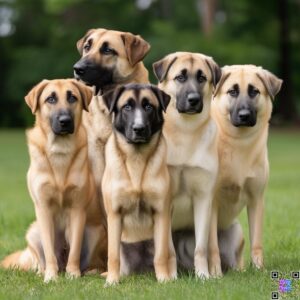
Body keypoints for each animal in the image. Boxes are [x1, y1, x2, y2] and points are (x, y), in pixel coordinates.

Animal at [0, 78, 108, 282]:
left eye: (72, 97)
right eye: (50, 99)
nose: (65, 121)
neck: (60, 151)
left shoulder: (77, 210)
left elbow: (75, 250)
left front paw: (73, 275)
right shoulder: (43, 208)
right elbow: (49, 251)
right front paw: (51, 277)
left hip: (94, 232)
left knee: (88, 261)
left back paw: (87, 271)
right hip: (33, 232)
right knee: (43, 260)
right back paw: (45, 271)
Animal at [101, 83, 176, 284]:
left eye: (148, 106)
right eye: (127, 107)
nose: (139, 128)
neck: (136, 158)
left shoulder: (161, 212)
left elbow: (160, 255)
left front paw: (163, 280)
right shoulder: (115, 214)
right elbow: (112, 255)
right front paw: (112, 281)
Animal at [207, 65, 282, 276]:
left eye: (254, 91)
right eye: (232, 91)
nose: (244, 116)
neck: (238, 143)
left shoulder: (257, 199)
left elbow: (256, 241)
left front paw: (258, 270)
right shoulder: (211, 202)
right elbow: (212, 246)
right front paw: (215, 275)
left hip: (237, 233)